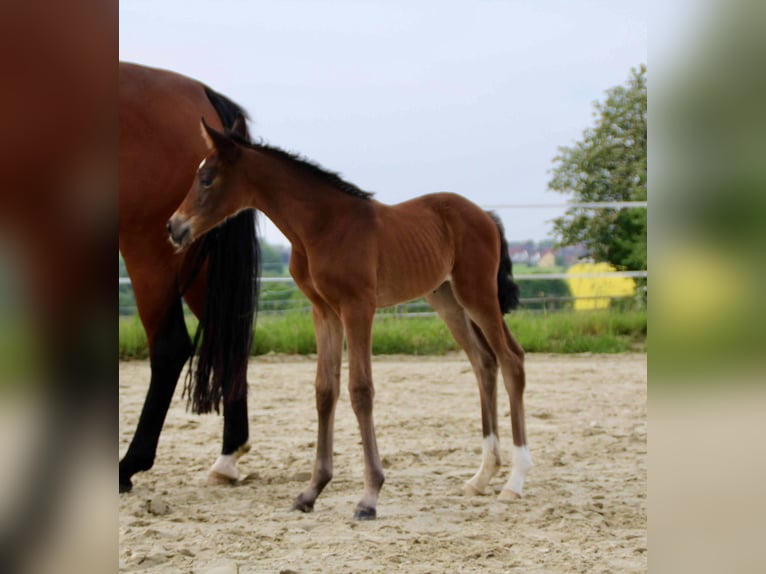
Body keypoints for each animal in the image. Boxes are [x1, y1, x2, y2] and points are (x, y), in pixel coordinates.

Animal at [119, 63, 261, 492]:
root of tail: (201, 91)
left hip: (151, 249)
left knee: (170, 347)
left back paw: (128, 465)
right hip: (203, 261)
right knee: (227, 337)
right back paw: (227, 458)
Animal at [167, 116, 533, 520]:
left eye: (207, 178)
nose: (174, 227)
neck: (322, 226)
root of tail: (485, 215)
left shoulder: (358, 308)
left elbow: (360, 390)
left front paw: (369, 496)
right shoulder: (324, 311)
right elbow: (325, 390)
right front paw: (311, 491)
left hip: (477, 295)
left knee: (511, 359)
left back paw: (515, 481)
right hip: (448, 301)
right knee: (484, 363)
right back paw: (481, 477)